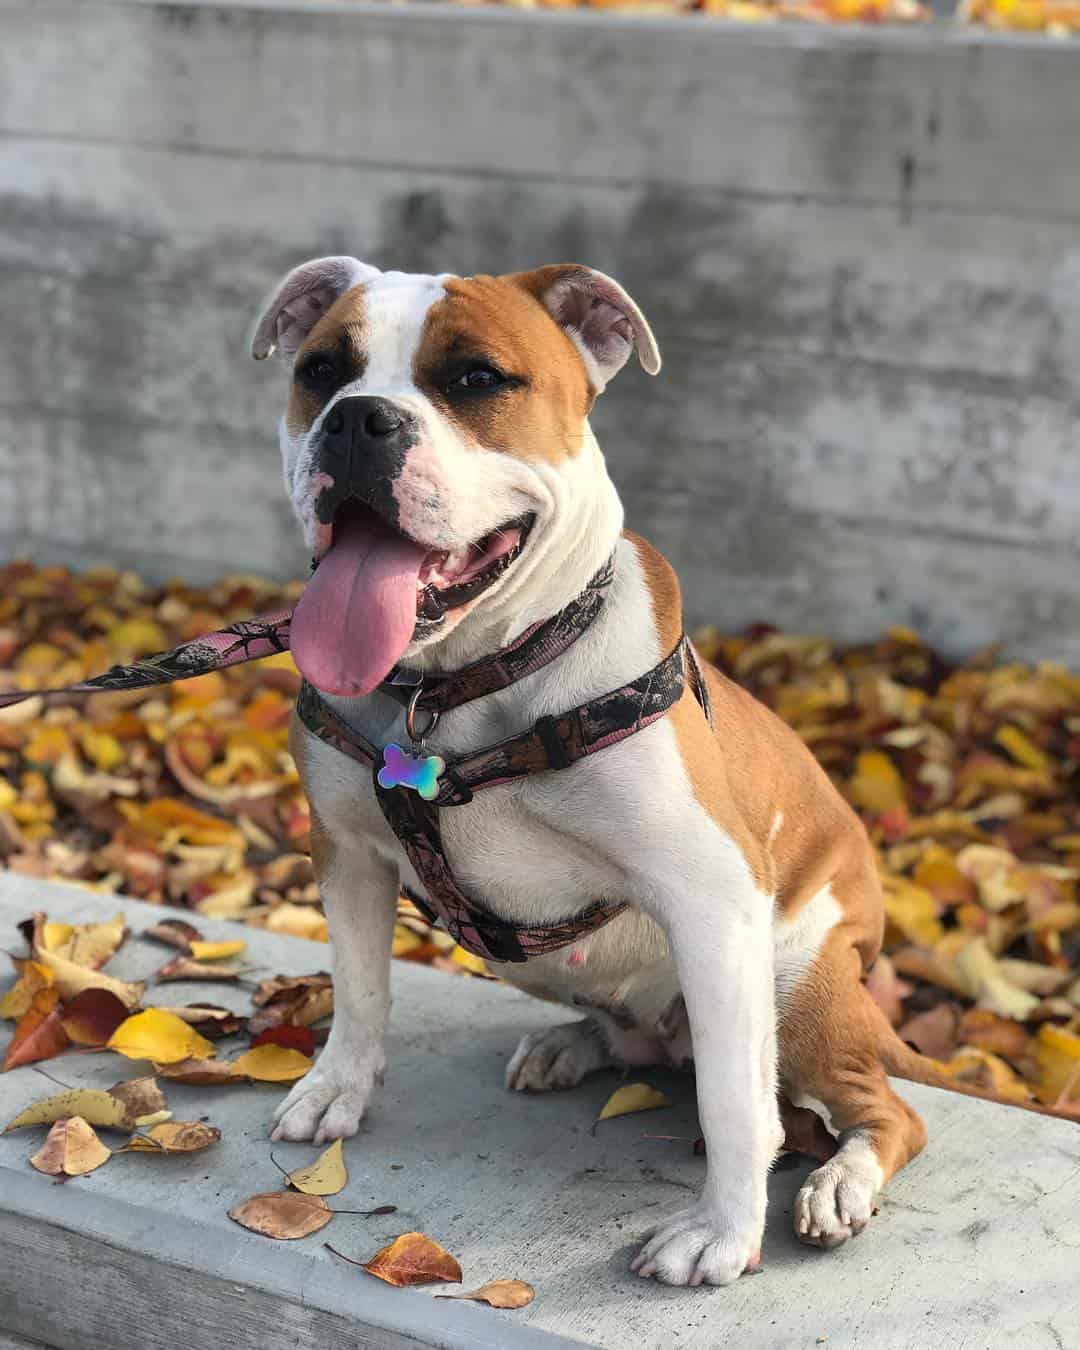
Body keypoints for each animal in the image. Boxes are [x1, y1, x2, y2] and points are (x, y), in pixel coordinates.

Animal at [251, 255, 928, 1285]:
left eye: (477, 378)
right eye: (322, 369)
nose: (360, 418)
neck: (453, 687)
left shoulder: (711, 897)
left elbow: (737, 1103)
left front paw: (723, 1232)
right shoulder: (347, 855)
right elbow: (361, 990)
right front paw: (338, 1088)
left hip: (794, 978)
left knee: (881, 1109)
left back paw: (839, 1181)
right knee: (643, 1043)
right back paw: (573, 1045)